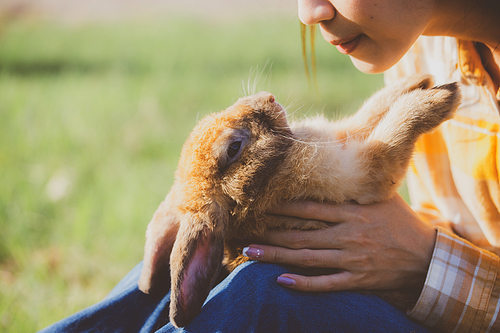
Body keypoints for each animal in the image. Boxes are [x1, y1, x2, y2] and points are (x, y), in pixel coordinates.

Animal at [136, 74, 460, 326]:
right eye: (234, 147)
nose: (268, 98)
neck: (271, 175)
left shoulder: (344, 135)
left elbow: (369, 112)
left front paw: (415, 82)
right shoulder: (366, 170)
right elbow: (391, 133)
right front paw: (442, 97)